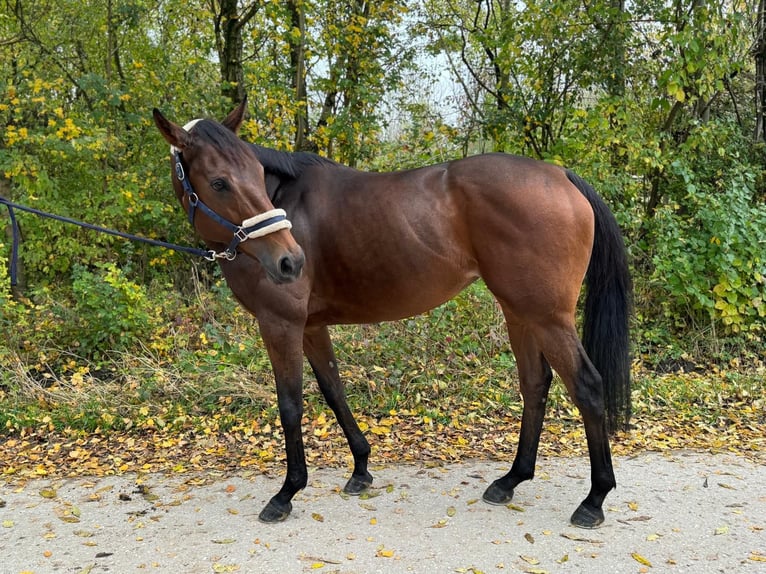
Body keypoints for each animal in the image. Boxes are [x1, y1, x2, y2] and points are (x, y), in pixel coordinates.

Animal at [153, 100, 632, 532]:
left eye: (253, 174)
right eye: (219, 182)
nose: (291, 262)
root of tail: (560, 175)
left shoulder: (280, 324)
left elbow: (291, 405)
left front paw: (287, 492)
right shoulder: (312, 327)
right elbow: (334, 392)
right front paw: (360, 469)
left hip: (548, 317)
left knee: (587, 387)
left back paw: (594, 499)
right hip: (520, 313)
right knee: (535, 384)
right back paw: (511, 479)